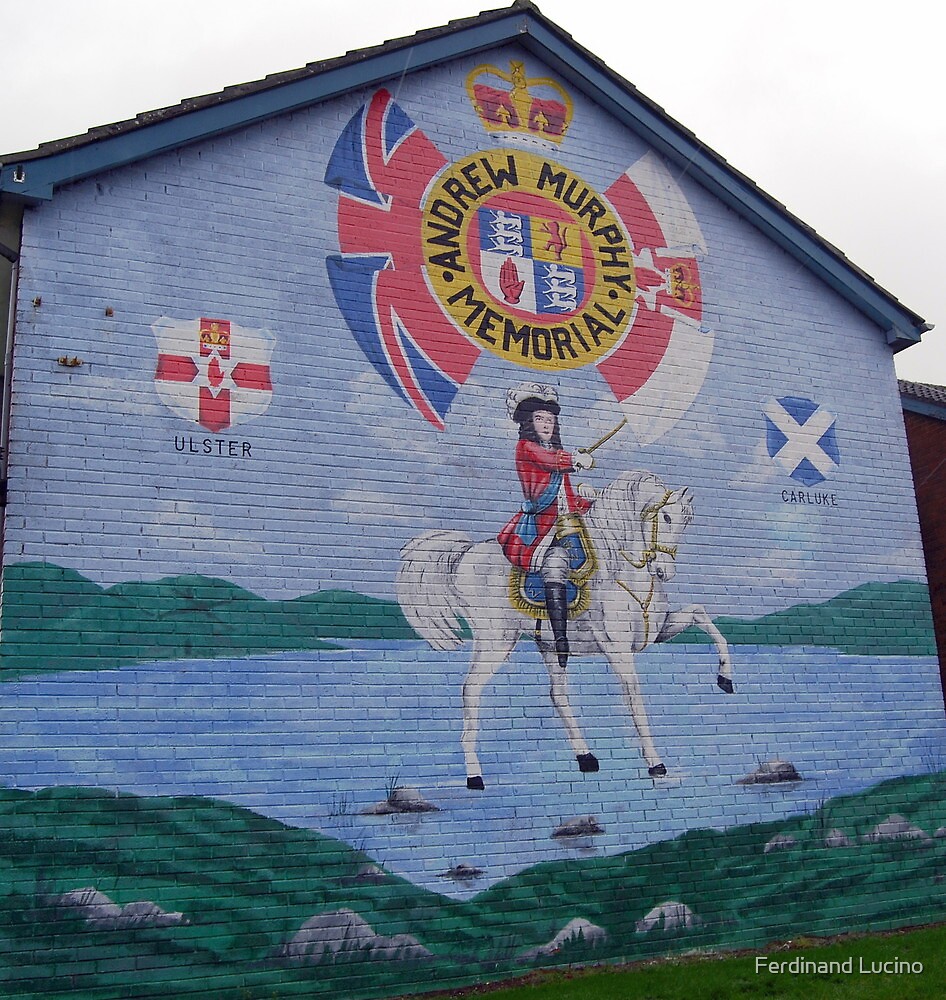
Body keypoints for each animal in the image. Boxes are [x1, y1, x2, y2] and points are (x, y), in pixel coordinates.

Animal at [394, 468, 732, 788]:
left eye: (687, 521)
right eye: (666, 516)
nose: (663, 571)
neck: (621, 569)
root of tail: (463, 556)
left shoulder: (658, 632)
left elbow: (701, 616)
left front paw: (725, 678)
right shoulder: (618, 650)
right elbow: (634, 698)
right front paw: (656, 763)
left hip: (546, 645)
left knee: (556, 694)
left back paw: (585, 757)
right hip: (496, 641)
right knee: (470, 690)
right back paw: (474, 775)